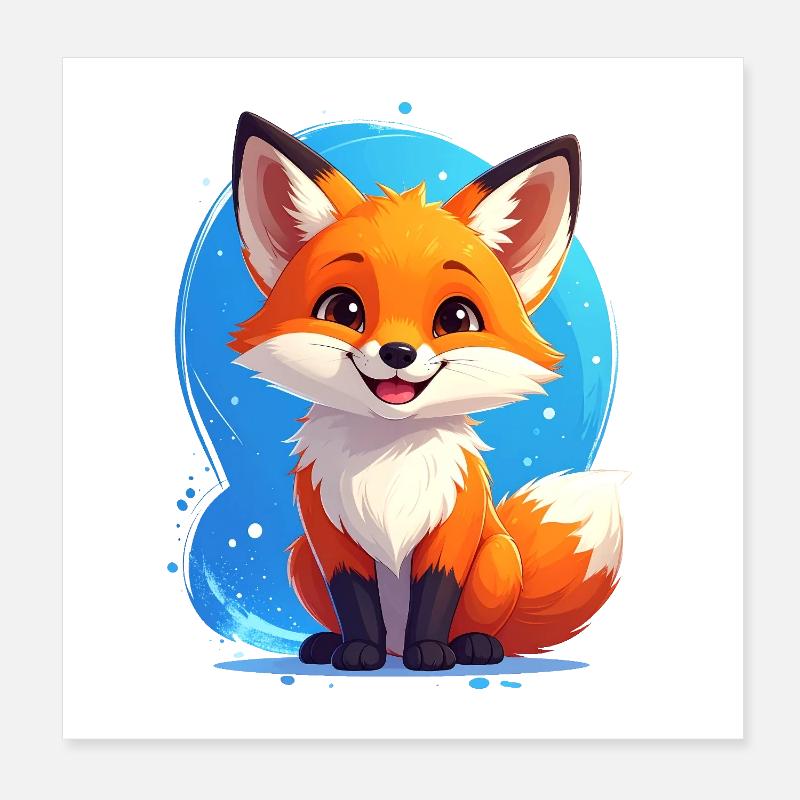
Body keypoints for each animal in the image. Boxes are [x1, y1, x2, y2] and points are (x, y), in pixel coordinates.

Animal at [229, 112, 625, 671]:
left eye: (456, 318)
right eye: (343, 310)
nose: (398, 352)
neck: (387, 459)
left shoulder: (453, 527)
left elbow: (437, 595)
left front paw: (432, 652)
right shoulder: (330, 537)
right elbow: (354, 601)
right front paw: (358, 651)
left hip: (498, 556)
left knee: (484, 626)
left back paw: (475, 646)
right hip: (301, 556)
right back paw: (332, 644)